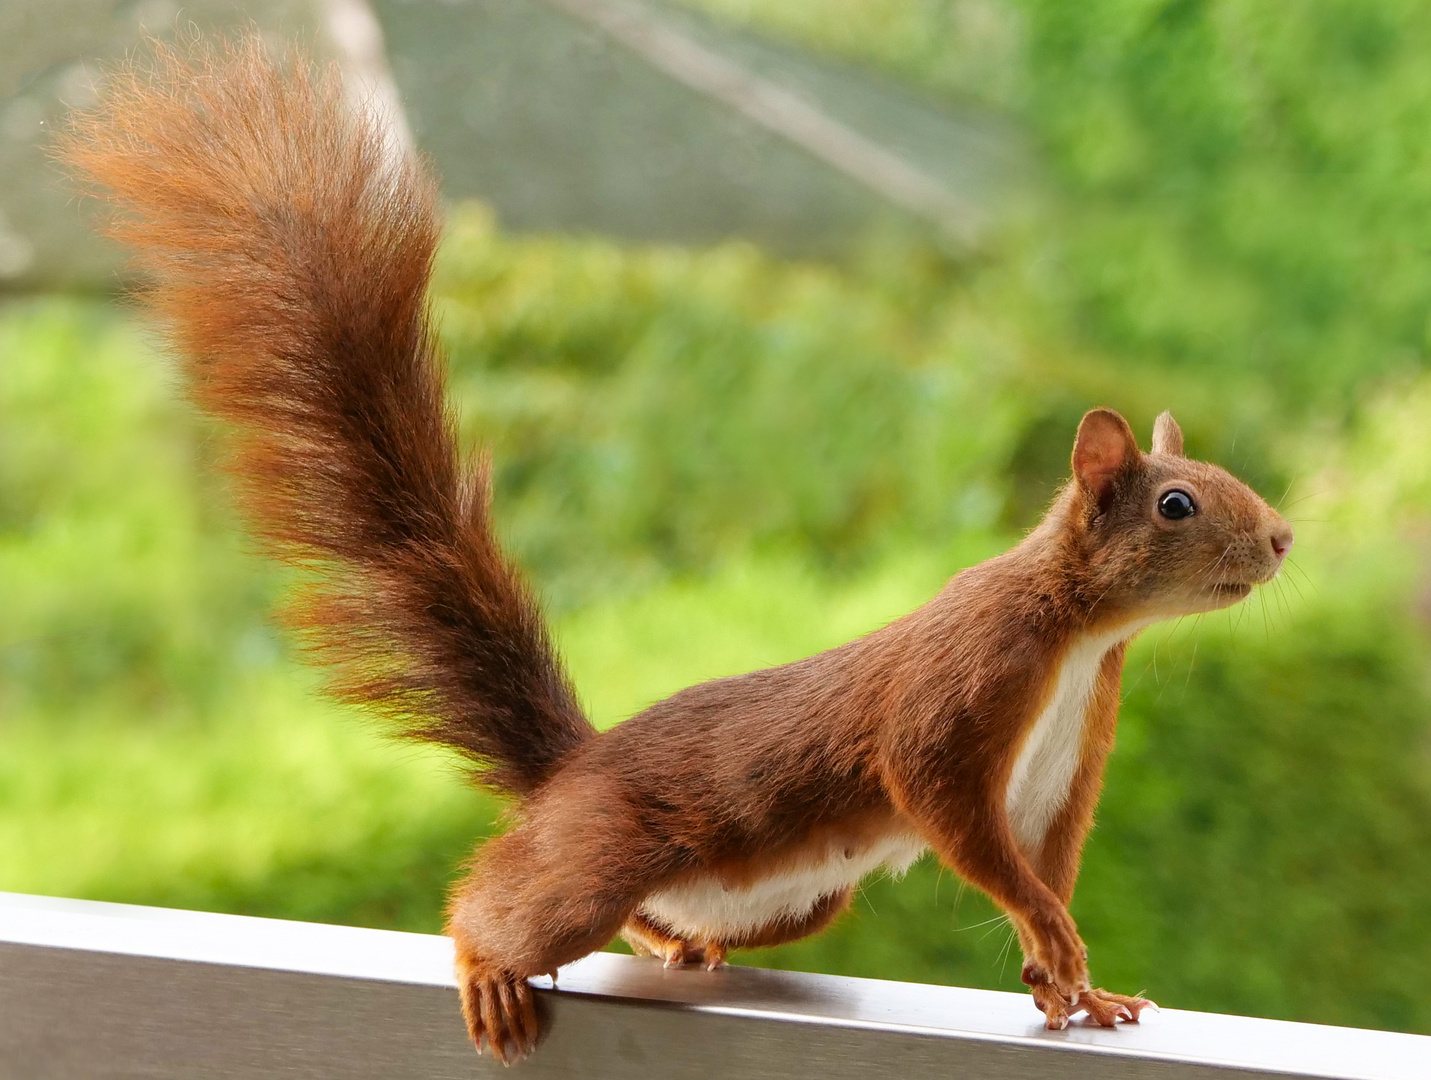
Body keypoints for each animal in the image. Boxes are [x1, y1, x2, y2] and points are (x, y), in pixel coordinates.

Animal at [67, 35, 1299, 1064]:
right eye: (1177, 505)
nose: (1284, 537)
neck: (1083, 636)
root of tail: (571, 772)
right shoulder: (968, 681)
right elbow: (948, 801)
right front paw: (1057, 947)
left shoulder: (1065, 759)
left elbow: (1040, 858)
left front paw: (1076, 988)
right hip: (601, 855)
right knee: (503, 903)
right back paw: (487, 965)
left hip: (791, 896)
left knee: (664, 923)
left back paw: (674, 949)